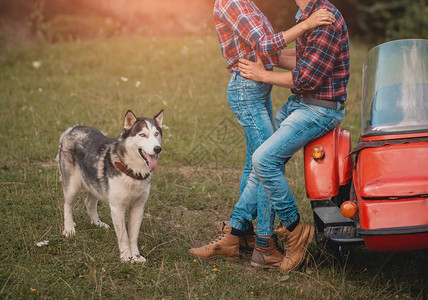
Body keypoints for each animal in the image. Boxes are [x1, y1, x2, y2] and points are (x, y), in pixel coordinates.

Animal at [57, 109, 163, 262]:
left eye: (156, 134)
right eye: (142, 135)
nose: (157, 148)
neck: (133, 171)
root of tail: (71, 129)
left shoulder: (138, 207)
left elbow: (133, 236)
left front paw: (136, 256)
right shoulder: (117, 208)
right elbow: (124, 236)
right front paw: (126, 257)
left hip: (94, 184)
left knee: (89, 203)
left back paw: (97, 223)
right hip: (72, 186)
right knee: (67, 205)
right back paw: (69, 228)